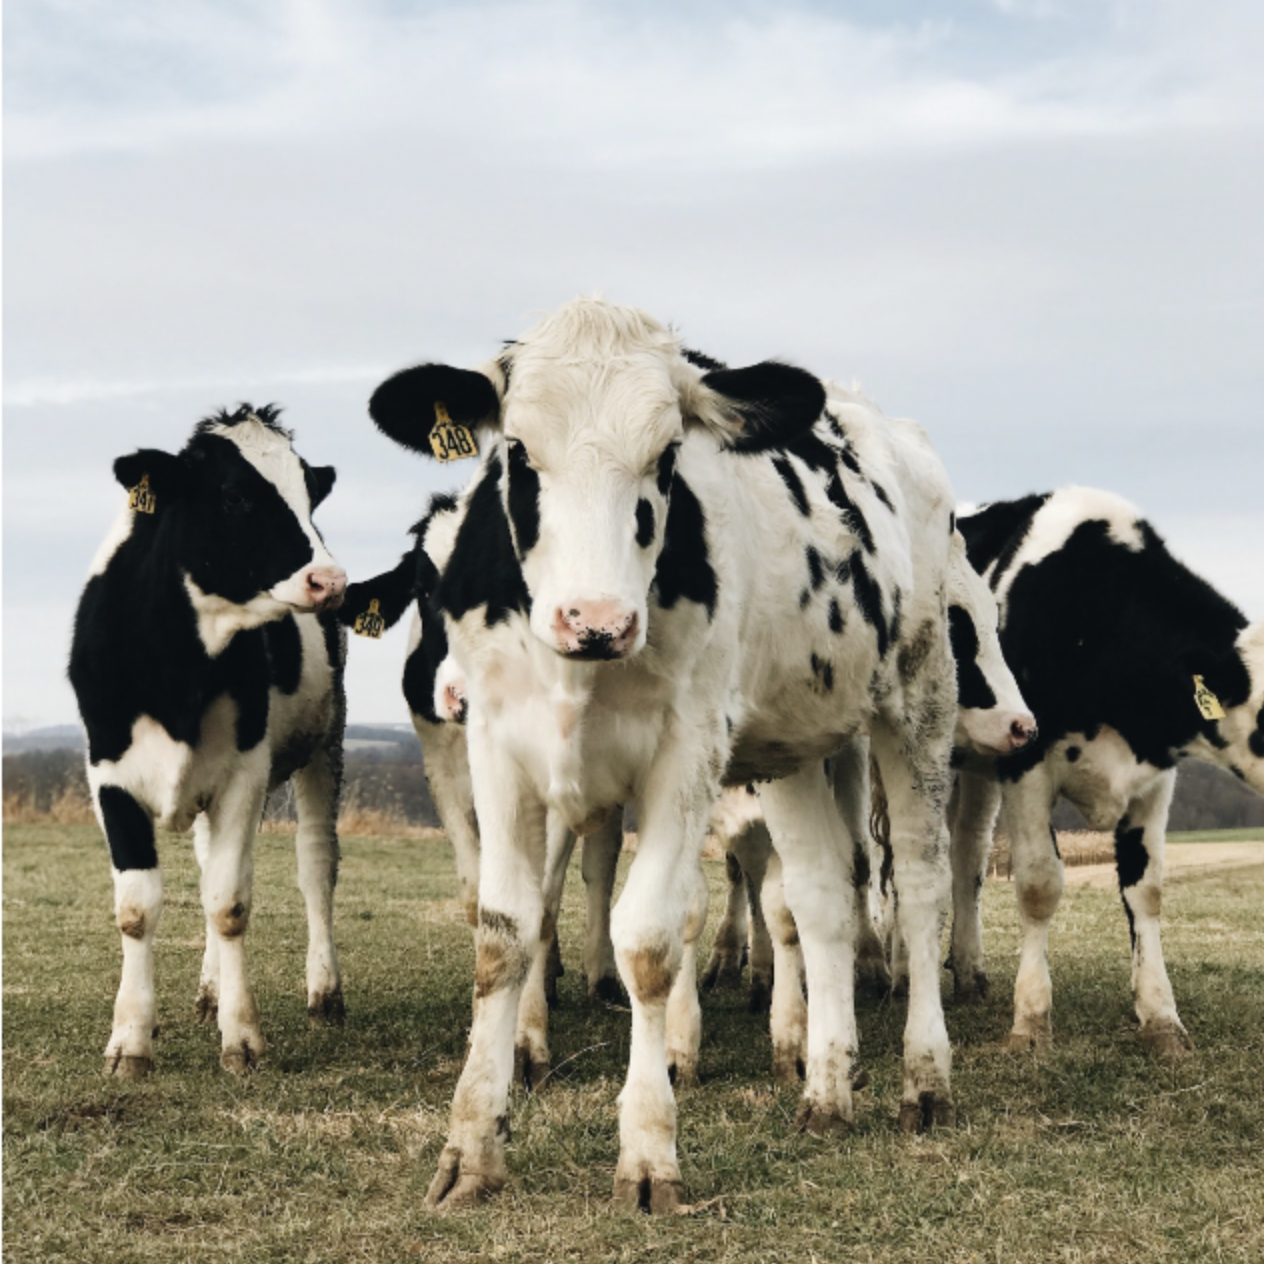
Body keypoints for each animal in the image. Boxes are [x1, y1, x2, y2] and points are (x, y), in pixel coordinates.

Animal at [69, 404, 348, 1077]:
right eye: (234, 496)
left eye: (309, 495)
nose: (330, 580)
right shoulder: (107, 774)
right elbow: (138, 907)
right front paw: (130, 1041)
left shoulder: (243, 772)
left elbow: (229, 903)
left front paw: (241, 1039)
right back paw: (209, 990)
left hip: (325, 744)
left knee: (315, 865)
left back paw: (324, 991)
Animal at [363, 298, 965, 1212]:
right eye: (517, 451)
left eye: (669, 456)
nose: (596, 620)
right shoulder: (497, 747)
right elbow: (502, 934)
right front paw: (471, 1148)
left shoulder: (686, 755)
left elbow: (647, 941)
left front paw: (648, 1152)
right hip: (793, 743)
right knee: (822, 896)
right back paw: (826, 1089)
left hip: (917, 700)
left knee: (922, 885)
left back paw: (924, 1080)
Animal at [951, 487, 1264, 1054]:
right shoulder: (1026, 764)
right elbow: (1039, 885)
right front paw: (1031, 1019)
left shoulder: (1155, 779)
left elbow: (1146, 890)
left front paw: (1160, 1016)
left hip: (979, 769)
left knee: (967, 857)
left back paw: (968, 974)